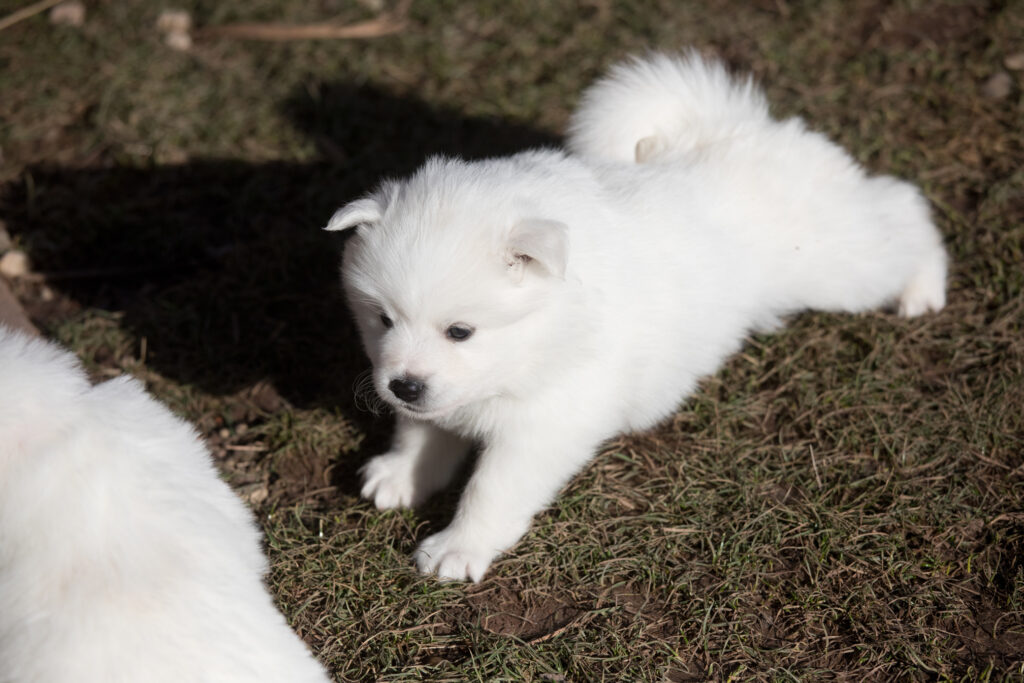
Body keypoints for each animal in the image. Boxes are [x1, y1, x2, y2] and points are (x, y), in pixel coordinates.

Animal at [327, 51, 947, 582]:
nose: (402, 385)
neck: (543, 332)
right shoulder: (442, 393)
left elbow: (491, 488)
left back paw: (924, 287)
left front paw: (458, 548)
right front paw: (401, 473)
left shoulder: (546, 424)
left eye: (461, 331)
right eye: (383, 319)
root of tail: (735, 127)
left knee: (902, 210)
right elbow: (422, 429)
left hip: (836, 264)